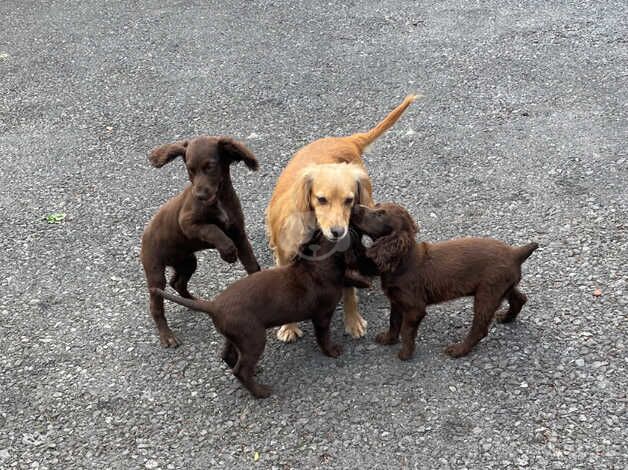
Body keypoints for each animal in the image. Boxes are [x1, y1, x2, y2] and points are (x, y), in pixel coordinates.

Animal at [142, 134, 260, 346]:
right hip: (155, 272)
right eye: (190, 168)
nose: (199, 195)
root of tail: (144, 234)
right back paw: (167, 336)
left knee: (177, 283)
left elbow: (251, 265)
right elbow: (212, 229)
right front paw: (228, 252)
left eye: (210, 166)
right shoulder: (187, 222)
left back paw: (195, 302)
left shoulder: (239, 234)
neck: (219, 200)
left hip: (187, 261)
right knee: (156, 305)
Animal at [150, 233, 350, 398]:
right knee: (240, 370)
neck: (317, 266)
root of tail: (213, 305)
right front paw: (332, 351)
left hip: (235, 335)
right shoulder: (322, 315)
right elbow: (323, 337)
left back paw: (254, 373)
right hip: (253, 337)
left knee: (227, 356)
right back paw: (260, 392)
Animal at [264, 95, 418, 344]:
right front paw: (289, 327)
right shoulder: (287, 254)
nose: (338, 232)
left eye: (349, 200)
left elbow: (349, 293)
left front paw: (353, 322)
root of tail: (345, 140)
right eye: (321, 199)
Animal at [350, 203, 536, 360]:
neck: (401, 260)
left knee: (480, 329)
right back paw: (506, 317)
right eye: (376, 205)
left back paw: (459, 350)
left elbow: (406, 330)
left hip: (487, 294)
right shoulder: (396, 300)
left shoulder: (414, 307)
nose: (354, 206)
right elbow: (393, 321)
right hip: (502, 286)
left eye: (380, 214)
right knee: (520, 298)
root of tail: (515, 253)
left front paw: (405, 353)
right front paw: (388, 339)